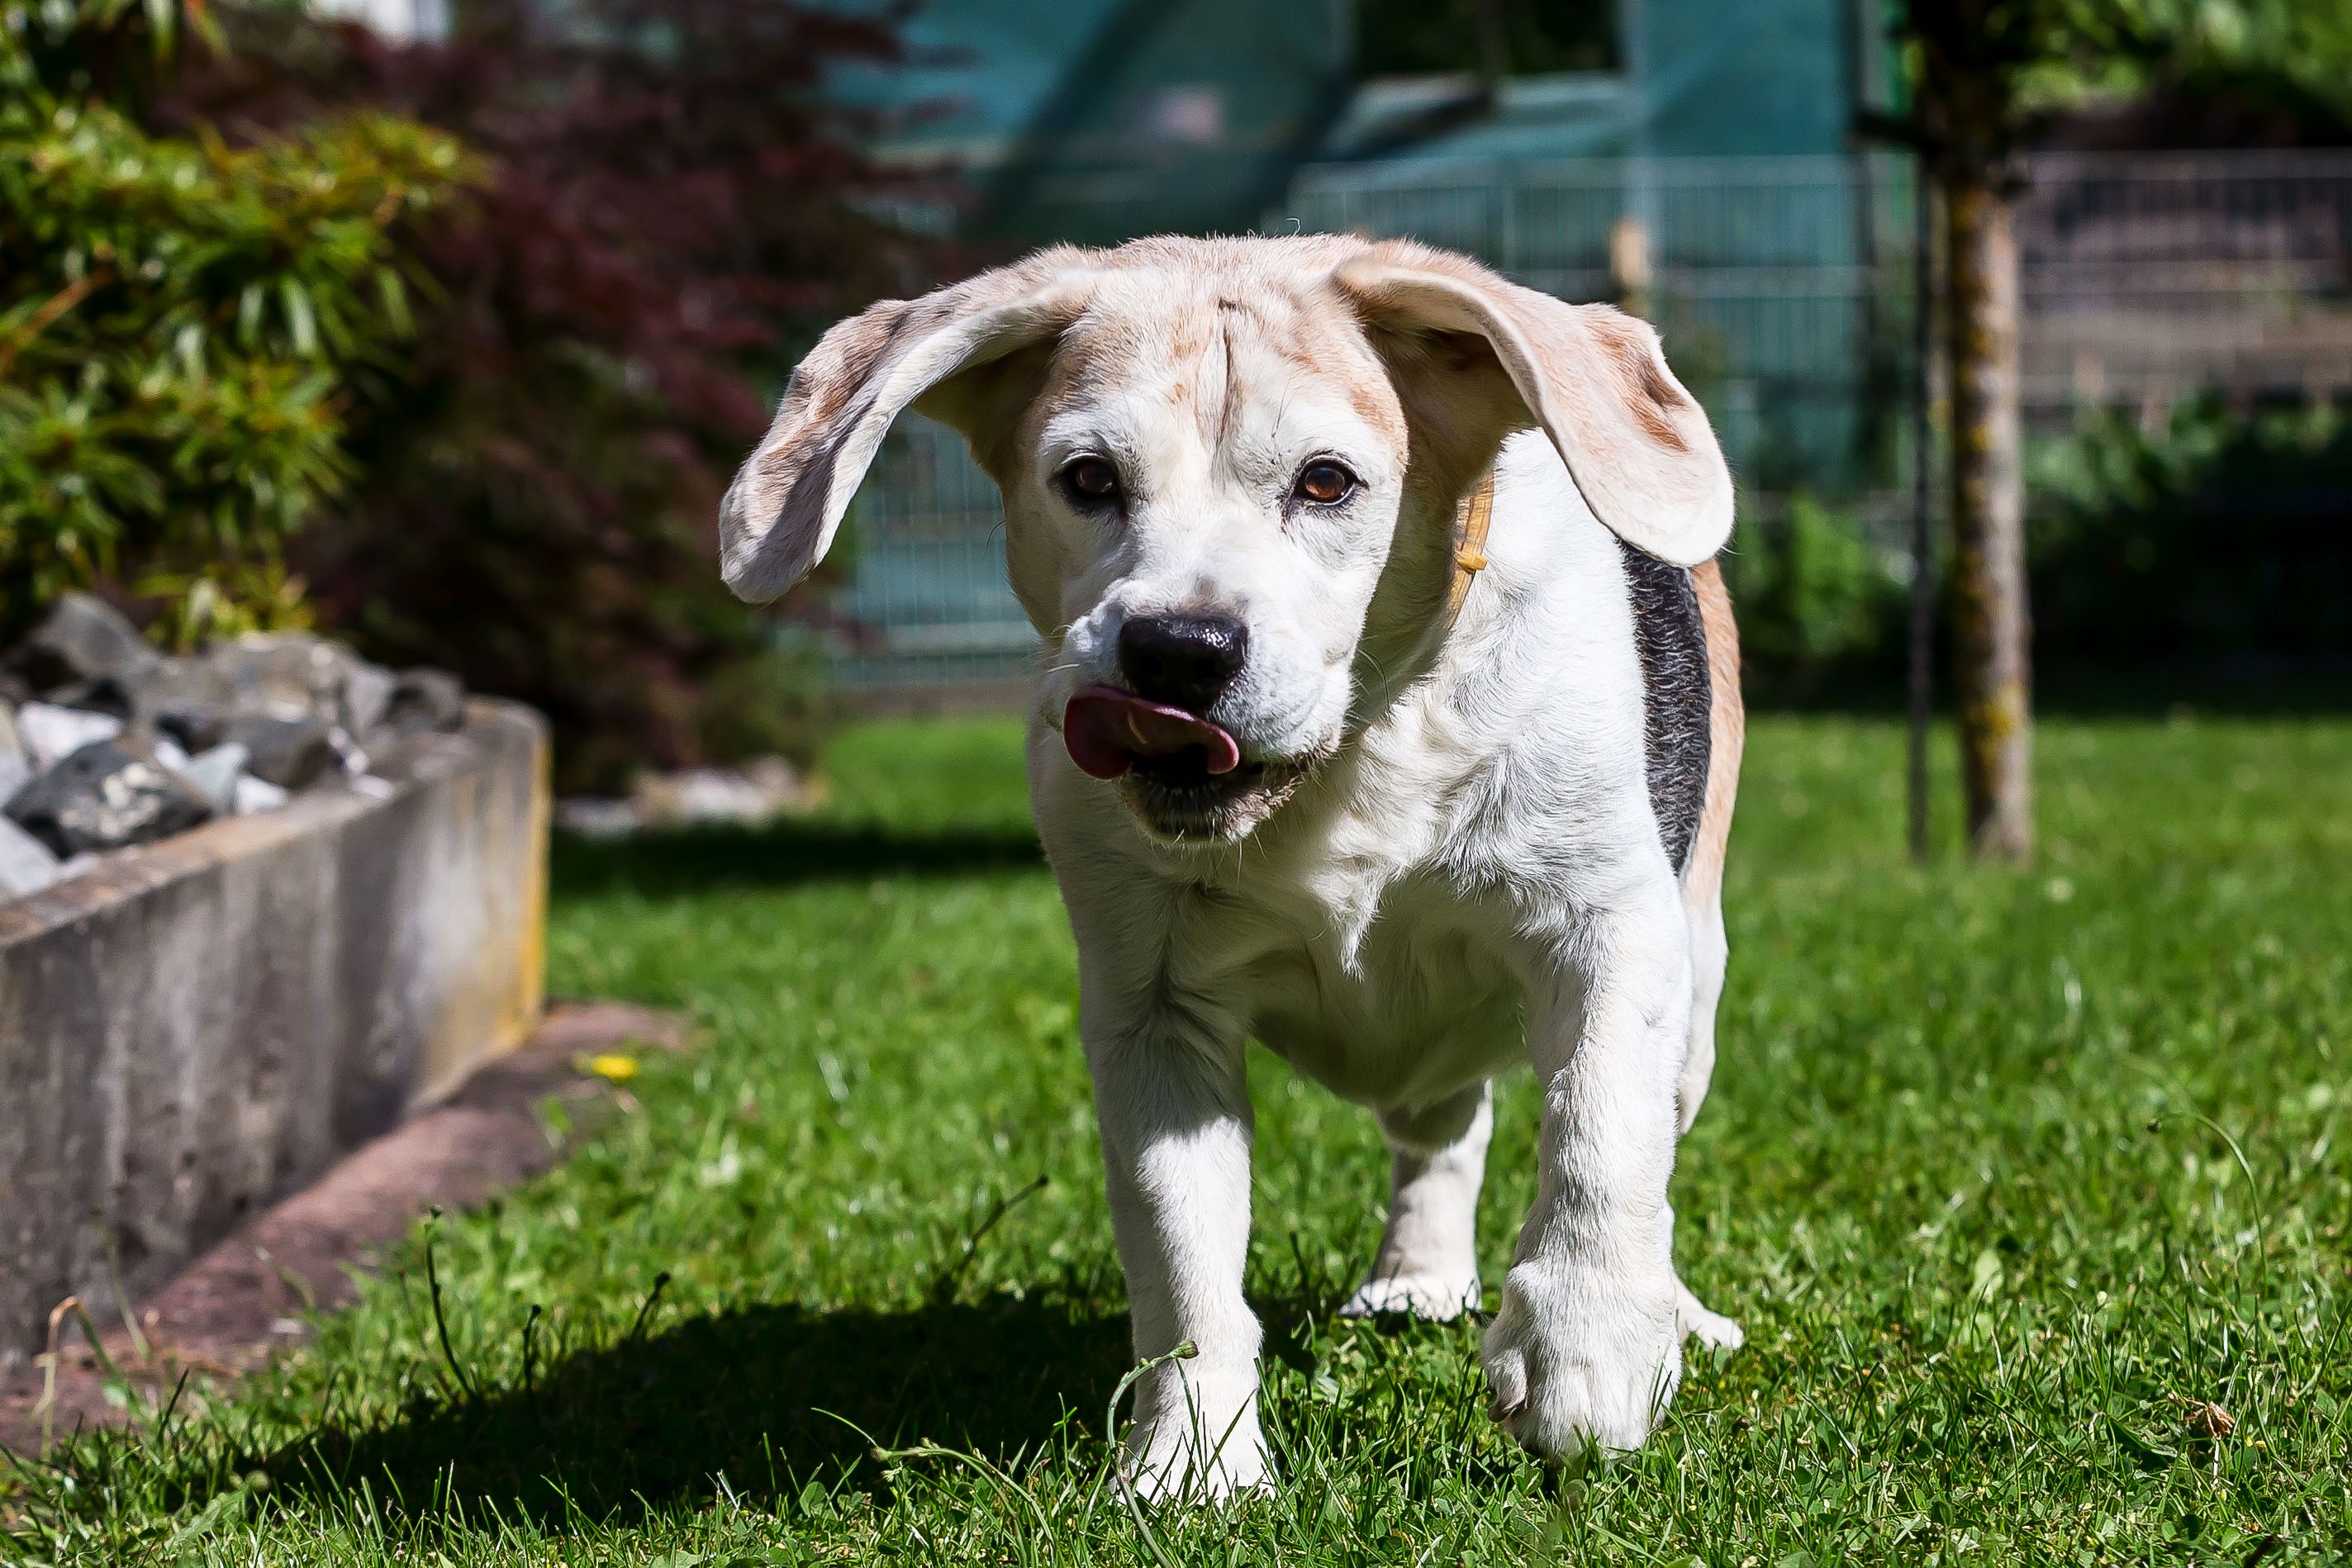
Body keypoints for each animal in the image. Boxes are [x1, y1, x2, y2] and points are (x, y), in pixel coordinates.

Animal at [720, 232, 1750, 1494]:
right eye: (1087, 479)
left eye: (1327, 481)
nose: (1177, 651)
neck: (1350, 753)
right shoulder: (1151, 1014)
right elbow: (1182, 1259)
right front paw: (1191, 1458)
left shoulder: (1604, 929)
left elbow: (1601, 1132)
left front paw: (1586, 1352)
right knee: (1438, 1131)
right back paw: (1416, 1277)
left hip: (1695, 982)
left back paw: (1671, 1313)